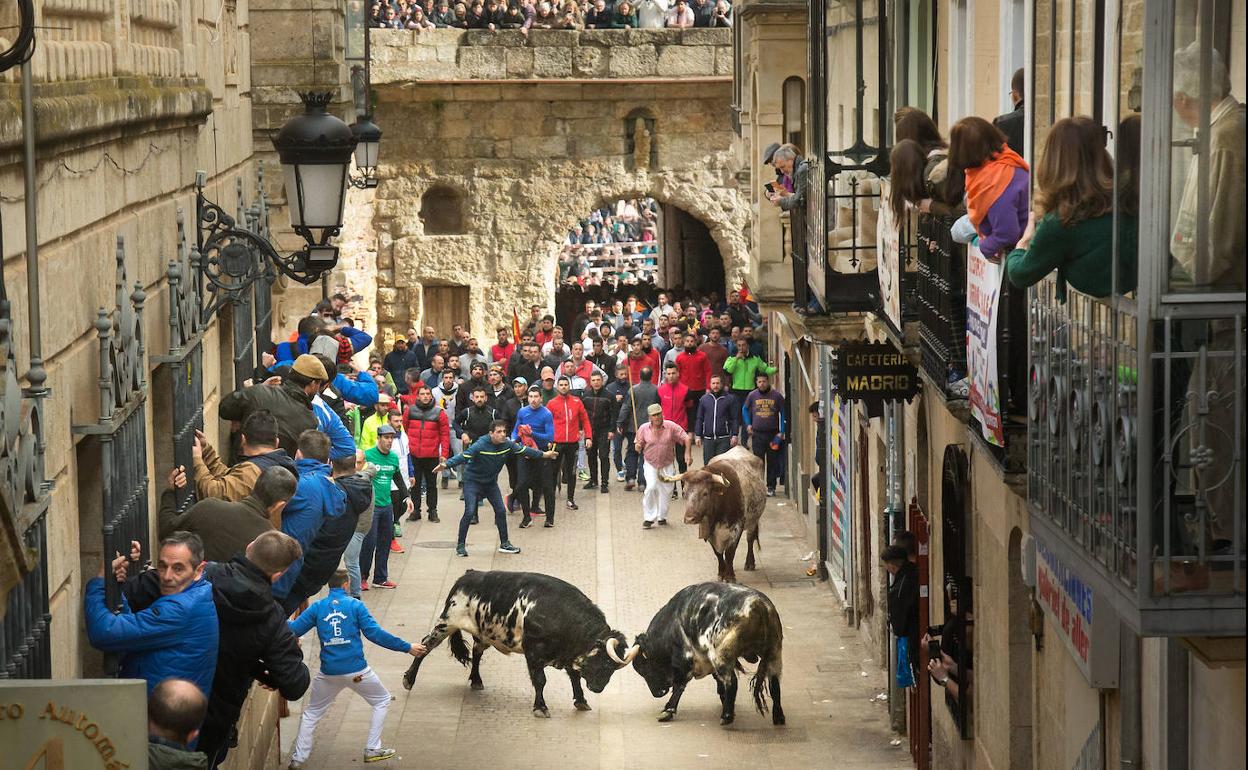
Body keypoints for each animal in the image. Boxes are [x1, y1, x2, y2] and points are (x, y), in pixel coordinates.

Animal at [399, 571, 638, 713]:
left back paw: (476, 680)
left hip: (483, 634)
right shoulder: (533, 653)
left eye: (613, 667)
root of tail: (467, 576)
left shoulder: (568, 654)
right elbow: (540, 681)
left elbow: (575, 676)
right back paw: (409, 679)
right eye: (605, 663)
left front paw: (581, 700)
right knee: (426, 645)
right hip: (446, 623)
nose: (598, 688)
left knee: (477, 652)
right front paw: (540, 707)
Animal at [663, 446, 768, 579]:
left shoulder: (737, 526)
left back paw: (750, 563)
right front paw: (721, 573)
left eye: (705, 493)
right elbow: (718, 553)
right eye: (684, 492)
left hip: (754, 520)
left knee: (750, 539)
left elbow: (730, 552)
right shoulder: (709, 529)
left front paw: (729, 576)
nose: (689, 519)